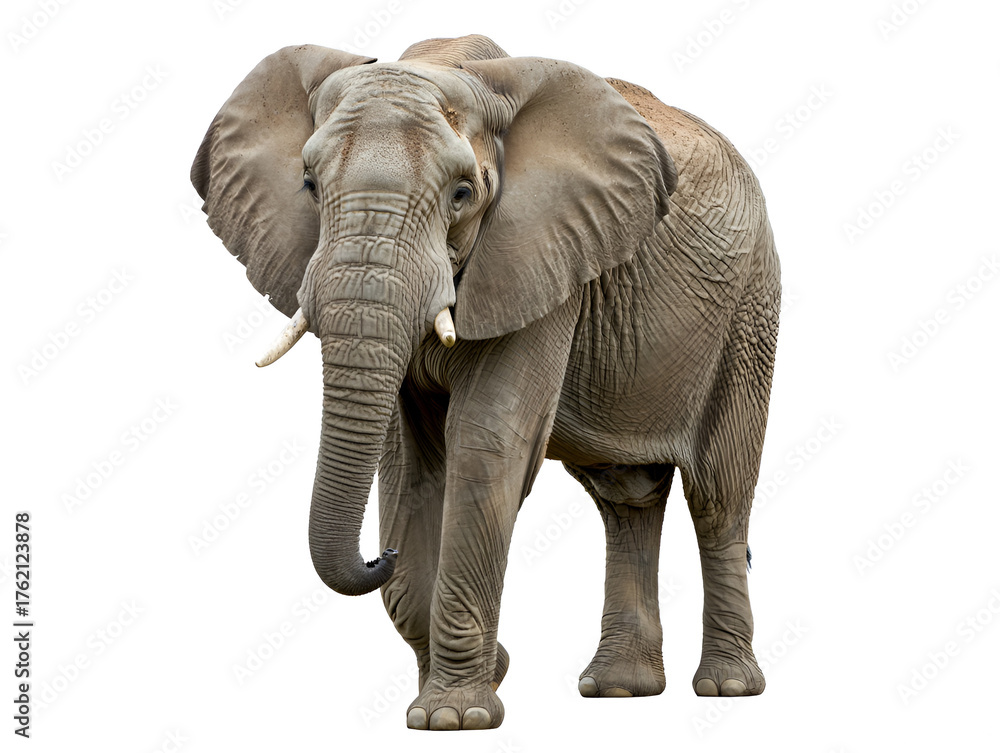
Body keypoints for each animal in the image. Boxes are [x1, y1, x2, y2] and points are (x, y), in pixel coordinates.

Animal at [192, 34, 780, 730]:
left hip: (749, 310)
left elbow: (486, 440)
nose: (378, 554)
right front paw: (468, 685)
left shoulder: (541, 252)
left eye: (463, 194)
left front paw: (456, 717)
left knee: (718, 494)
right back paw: (618, 691)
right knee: (626, 496)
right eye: (309, 184)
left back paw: (727, 688)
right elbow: (410, 463)